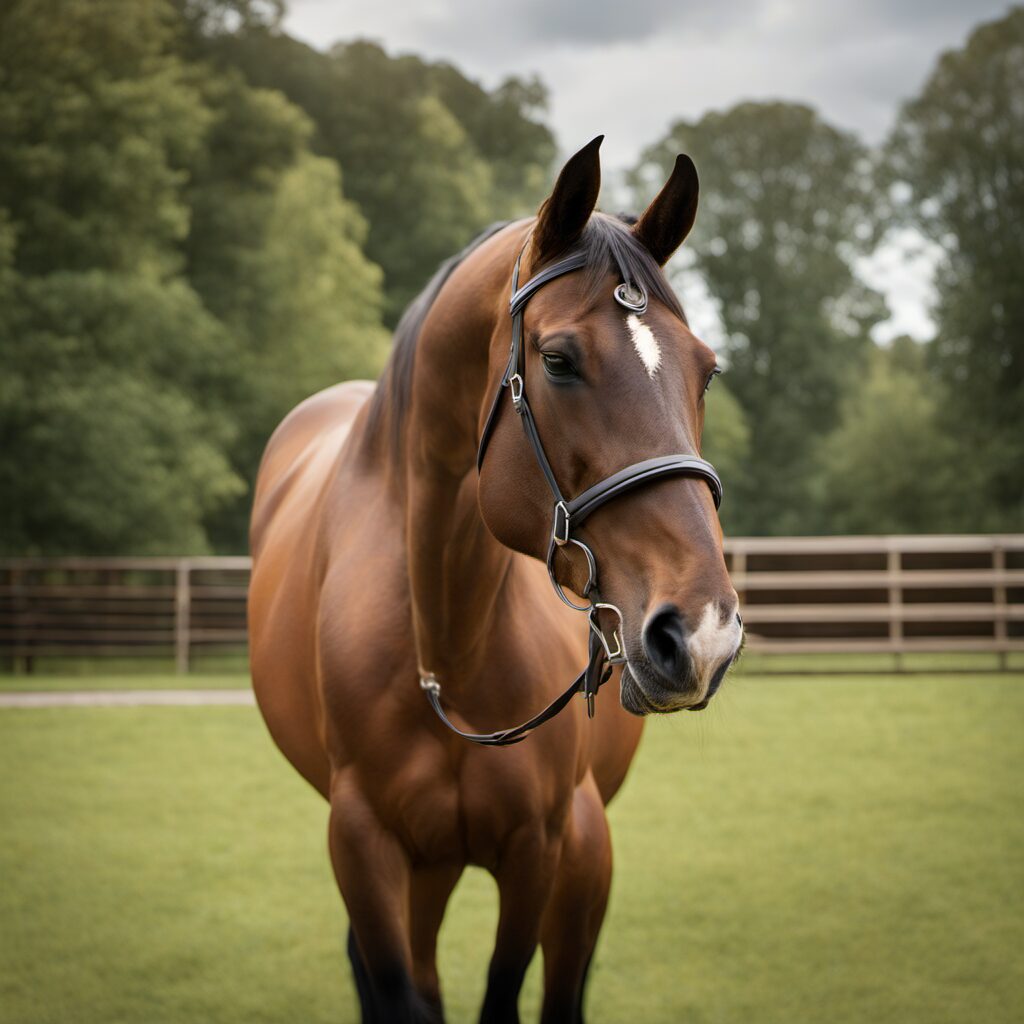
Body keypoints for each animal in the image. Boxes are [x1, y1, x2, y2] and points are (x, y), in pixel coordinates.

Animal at [248, 135, 743, 1024]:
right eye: (558, 360)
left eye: (707, 371)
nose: (703, 633)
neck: (446, 642)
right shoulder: (364, 844)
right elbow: (401, 991)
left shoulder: (545, 846)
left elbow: (512, 995)